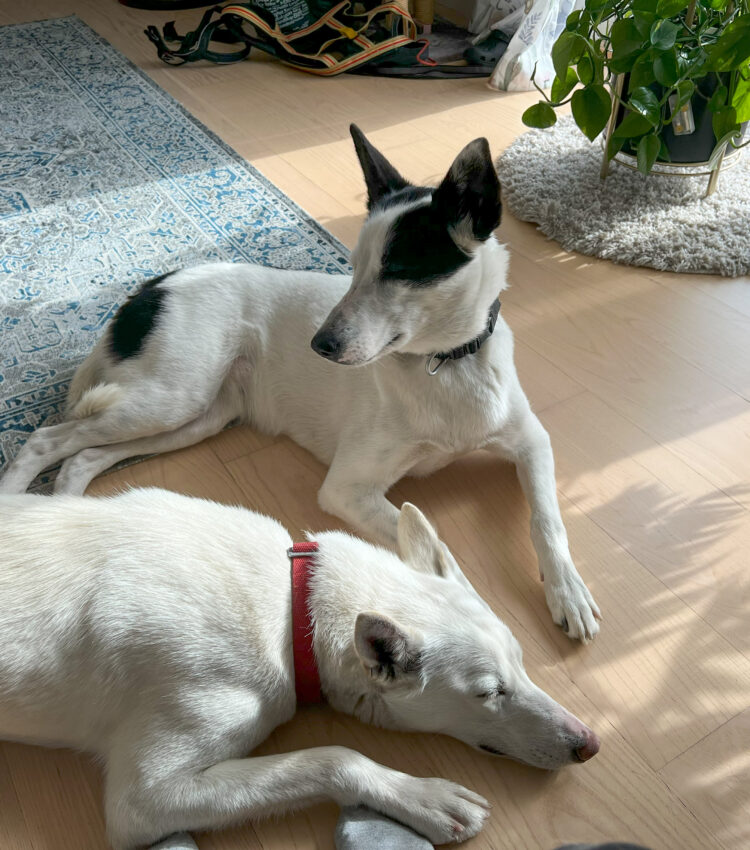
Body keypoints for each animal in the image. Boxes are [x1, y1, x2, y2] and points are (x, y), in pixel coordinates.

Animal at [0, 486, 600, 848]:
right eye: (488, 693)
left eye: (521, 664)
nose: (590, 745)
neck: (294, 612)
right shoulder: (142, 801)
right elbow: (334, 756)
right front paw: (421, 796)